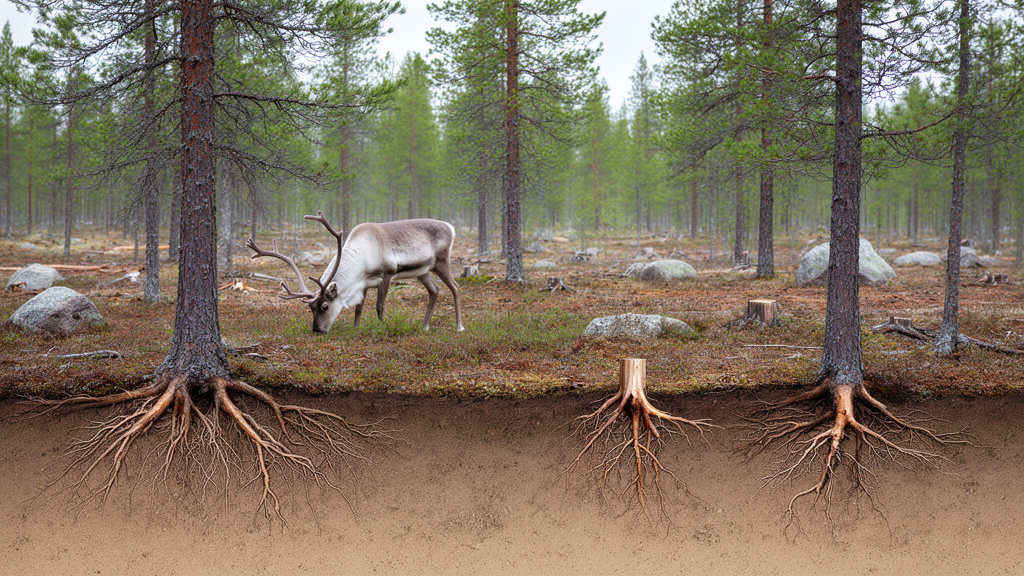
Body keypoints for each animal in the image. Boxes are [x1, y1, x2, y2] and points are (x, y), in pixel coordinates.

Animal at [246, 211, 464, 334]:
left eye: (324, 306)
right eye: (310, 308)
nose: (317, 330)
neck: (362, 257)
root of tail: (452, 227)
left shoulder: (387, 274)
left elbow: (379, 306)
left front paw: (381, 327)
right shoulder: (363, 283)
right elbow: (359, 308)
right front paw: (355, 328)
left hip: (441, 262)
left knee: (455, 287)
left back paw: (459, 326)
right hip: (423, 271)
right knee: (434, 290)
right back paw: (425, 326)